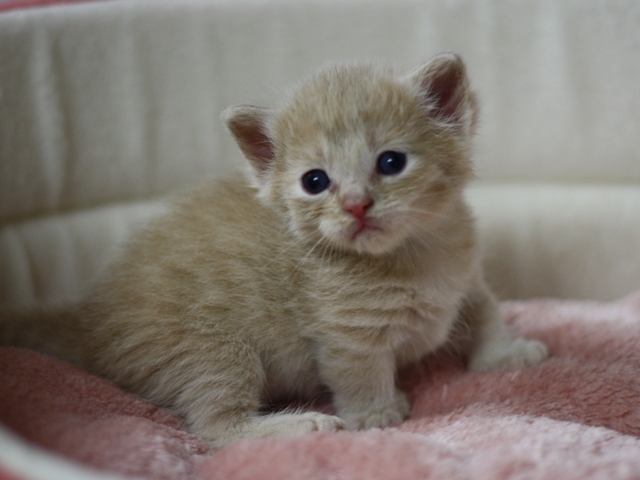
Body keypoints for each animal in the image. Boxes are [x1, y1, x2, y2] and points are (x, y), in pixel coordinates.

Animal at [2, 54, 548, 448]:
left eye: (391, 162)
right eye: (315, 181)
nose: (355, 205)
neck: (415, 256)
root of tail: (89, 318)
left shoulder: (466, 279)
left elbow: (487, 312)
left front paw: (507, 351)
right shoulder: (348, 333)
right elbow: (359, 372)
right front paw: (375, 414)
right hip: (212, 349)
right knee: (215, 428)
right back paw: (294, 425)